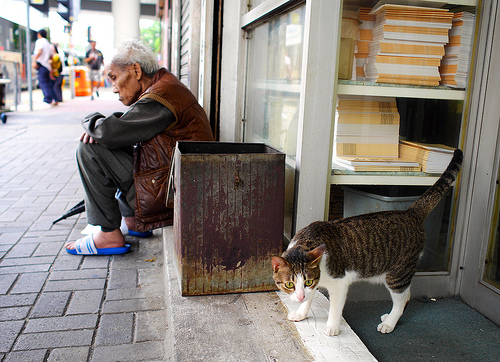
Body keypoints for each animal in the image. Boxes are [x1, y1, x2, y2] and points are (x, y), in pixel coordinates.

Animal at [272, 148, 462, 336]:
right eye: (289, 284)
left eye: (306, 281)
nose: (299, 296)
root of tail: (410, 213)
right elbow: (309, 298)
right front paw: (301, 312)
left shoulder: (339, 283)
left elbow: (335, 308)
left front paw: (332, 327)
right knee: (407, 294)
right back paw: (389, 317)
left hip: (397, 273)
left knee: (401, 298)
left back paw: (390, 323)